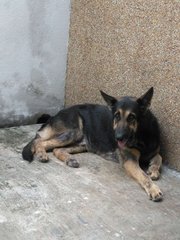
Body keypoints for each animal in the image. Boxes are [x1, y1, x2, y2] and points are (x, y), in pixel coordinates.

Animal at [22, 87, 163, 202]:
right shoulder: (129, 161)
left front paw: (153, 169)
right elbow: (144, 176)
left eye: (132, 117)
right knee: (39, 141)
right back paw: (41, 154)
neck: (142, 135)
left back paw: (70, 159)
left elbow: (159, 157)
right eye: (116, 116)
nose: (117, 137)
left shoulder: (154, 151)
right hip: (74, 132)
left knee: (57, 149)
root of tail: (53, 116)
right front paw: (153, 189)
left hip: (83, 144)